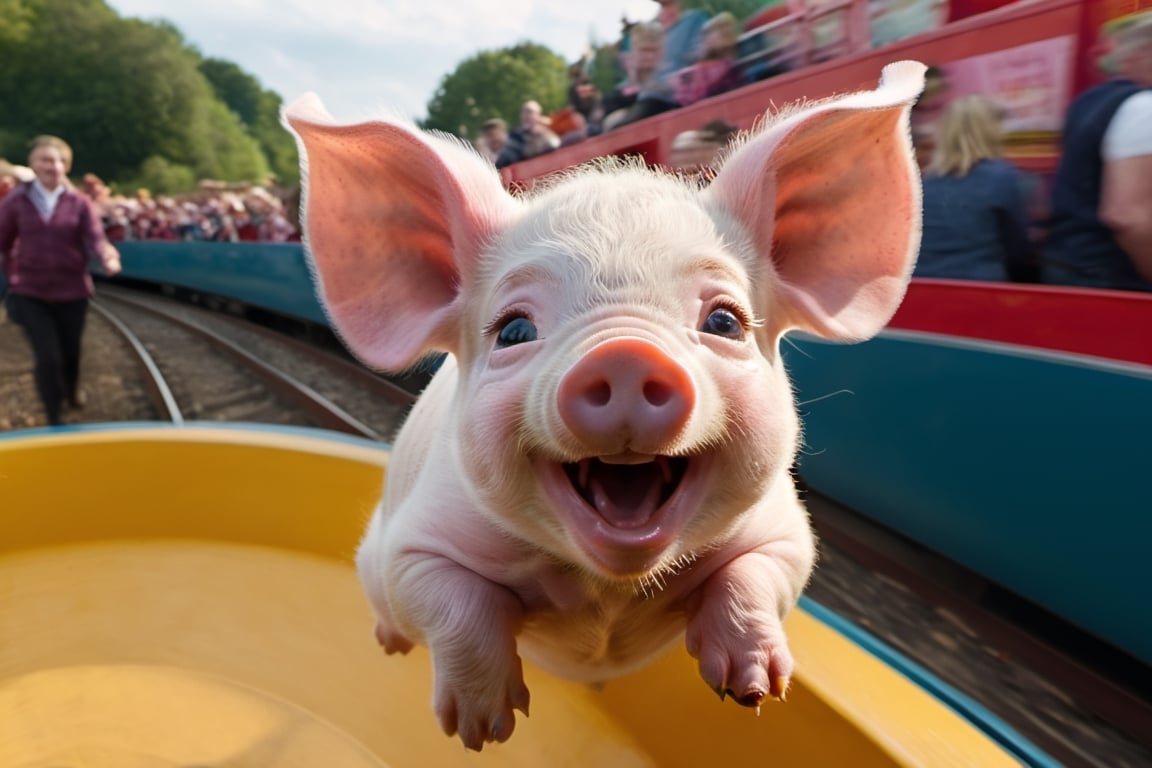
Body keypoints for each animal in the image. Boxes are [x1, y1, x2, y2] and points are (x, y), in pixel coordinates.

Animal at [284, 60, 925, 751]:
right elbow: (449, 601)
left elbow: (758, 574)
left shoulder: (787, 534)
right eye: (513, 330)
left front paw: (754, 691)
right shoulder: (412, 545)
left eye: (725, 321)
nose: (624, 353)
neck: (607, 596)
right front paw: (482, 731)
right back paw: (391, 645)